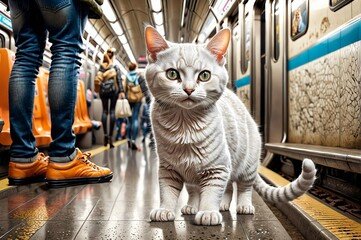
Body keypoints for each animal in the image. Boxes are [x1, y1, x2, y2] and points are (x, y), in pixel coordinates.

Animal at [143, 25, 316, 225]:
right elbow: (168, 192)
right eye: (172, 74)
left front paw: (208, 212)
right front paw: (165, 210)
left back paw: (242, 206)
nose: (189, 89)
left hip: (246, 166)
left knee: (242, 188)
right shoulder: (168, 169)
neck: (184, 125)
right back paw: (199, 206)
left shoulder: (217, 168)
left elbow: (212, 193)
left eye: (204, 75)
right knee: (206, 190)